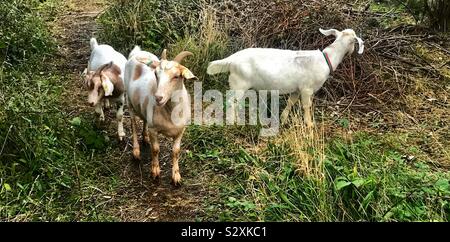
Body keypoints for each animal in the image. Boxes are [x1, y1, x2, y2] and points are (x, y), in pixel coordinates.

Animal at [125, 46, 198, 184]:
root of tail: (137, 52)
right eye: (155, 74)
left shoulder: (181, 130)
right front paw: (155, 171)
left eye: (176, 76)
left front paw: (176, 176)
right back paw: (136, 151)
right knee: (133, 124)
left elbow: (176, 151)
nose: (158, 98)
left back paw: (145, 138)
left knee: (144, 120)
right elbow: (155, 150)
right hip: (129, 102)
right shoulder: (154, 130)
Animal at [206, 27, 364, 126]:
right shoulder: (306, 89)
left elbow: (290, 102)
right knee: (231, 102)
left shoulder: (297, 89)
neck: (326, 59)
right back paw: (232, 122)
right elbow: (306, 106)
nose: (352, 53)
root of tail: (232, 60)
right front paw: (309, 124)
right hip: (239, 84)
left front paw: (283, 119)